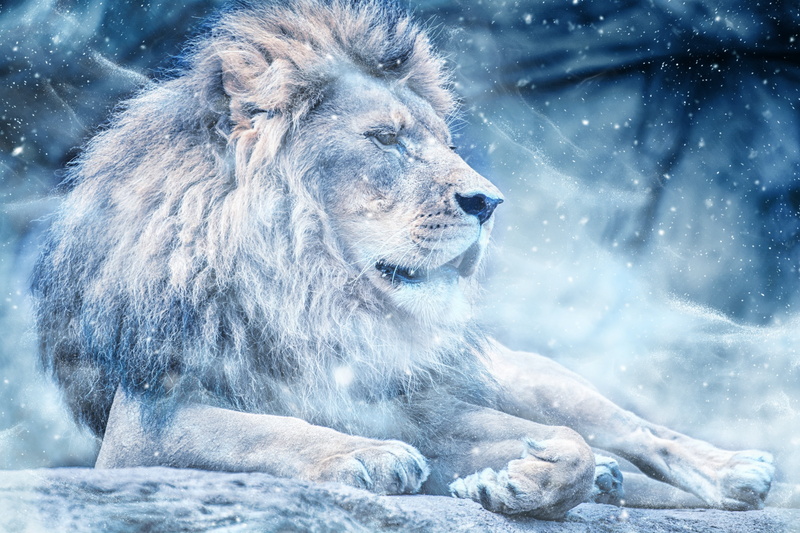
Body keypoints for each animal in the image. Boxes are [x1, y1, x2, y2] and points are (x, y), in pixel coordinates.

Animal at [32, 0, 774, 519]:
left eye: (442, 142)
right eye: (385, 140)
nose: (489, 201)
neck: (312, 294)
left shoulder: (426, 408)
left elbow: (574, 444)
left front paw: (524, 477)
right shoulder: (144, 425)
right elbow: (259, 432)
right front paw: (369, 457)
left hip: (528, 375)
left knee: (636, 431)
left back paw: (736, 468)